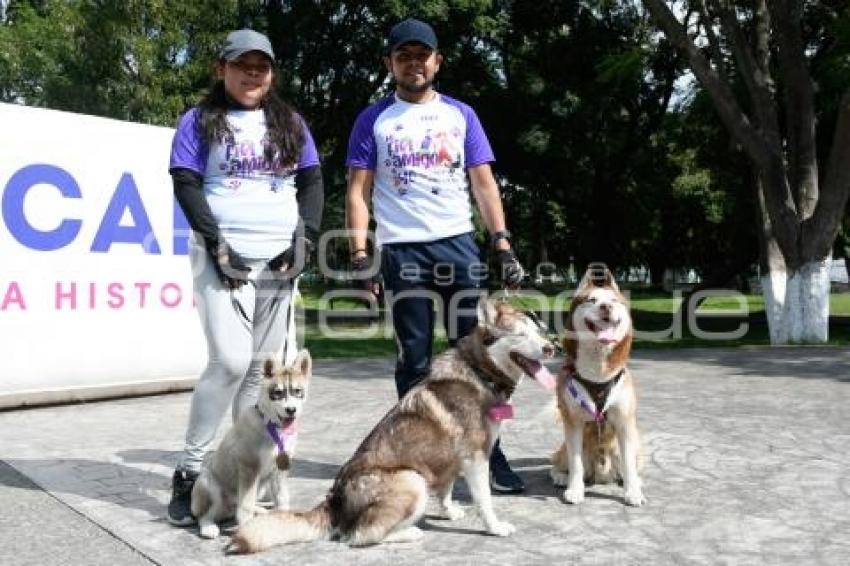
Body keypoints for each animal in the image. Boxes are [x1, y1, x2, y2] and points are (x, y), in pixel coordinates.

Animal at [190, 350, 312, 540]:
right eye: (277, 393)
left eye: (297, 391)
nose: (291, 410)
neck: (272, 427)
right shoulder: (249, 467)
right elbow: (245, 504)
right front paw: (246, 527)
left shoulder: (280, 470)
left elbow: (282, 498)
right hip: (209, 484)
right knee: (207, 514)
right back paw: (209, 527)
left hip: (260, 487)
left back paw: (260, 511)